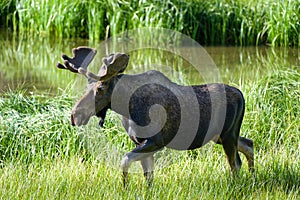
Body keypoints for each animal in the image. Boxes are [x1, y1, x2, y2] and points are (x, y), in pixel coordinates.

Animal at [56, 46, 253, 185]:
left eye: (100, 88)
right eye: (86, 87)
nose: (75, 115)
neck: (127, 108)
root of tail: (241, 95)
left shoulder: (156, 141)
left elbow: (125, 161)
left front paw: (125, 187)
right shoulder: (140, 142)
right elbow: (148, 177)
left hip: (227, 134)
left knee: (235, 163)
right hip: (219, 136)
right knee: (248, 144)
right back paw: (252, 179)